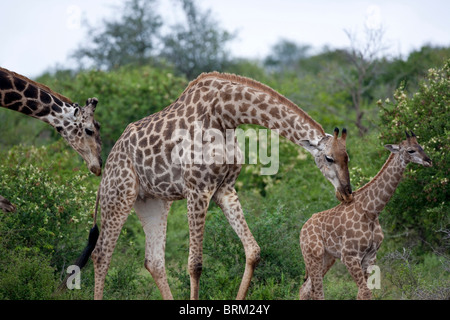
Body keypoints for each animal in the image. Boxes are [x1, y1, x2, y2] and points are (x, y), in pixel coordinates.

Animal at [75, 72, 354, 300]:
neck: (226, 115)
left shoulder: (225, 189)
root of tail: (107, 162)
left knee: (153, 261)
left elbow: (253, 251)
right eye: (329, 158)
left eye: (347, 157)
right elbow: (195, 264)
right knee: (101, 254)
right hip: (119, 194)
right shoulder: (197, 189)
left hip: (153, 201)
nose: (346, 193)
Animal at [298, 131, 432, 300]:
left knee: (306, 288)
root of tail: (303, 229)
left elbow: (362, 293)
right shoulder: (349, 256)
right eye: (410, 150)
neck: (372, 211)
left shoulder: (370, 256)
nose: (429, 161)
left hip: (327, 257)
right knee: (316, 290)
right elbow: (366, 292)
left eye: (421, 146)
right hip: (313, 255)